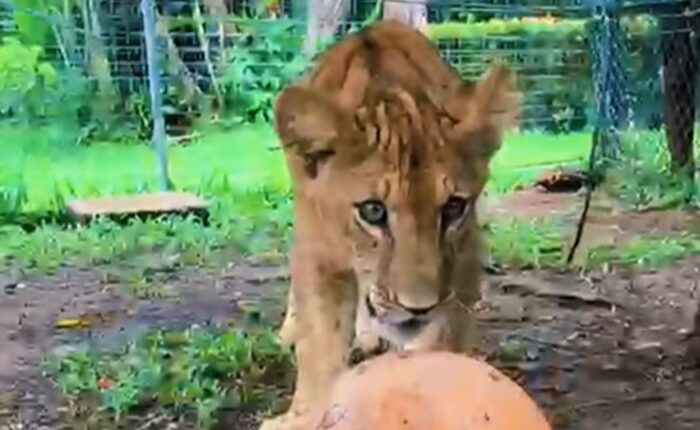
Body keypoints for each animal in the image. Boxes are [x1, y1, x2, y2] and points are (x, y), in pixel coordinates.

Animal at [263, 20, 520, 430]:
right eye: (372, 211)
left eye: (453, 208)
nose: (419, 308)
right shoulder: (318, 253)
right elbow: (318, 348)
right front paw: (303, 415)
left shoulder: (463, 258)